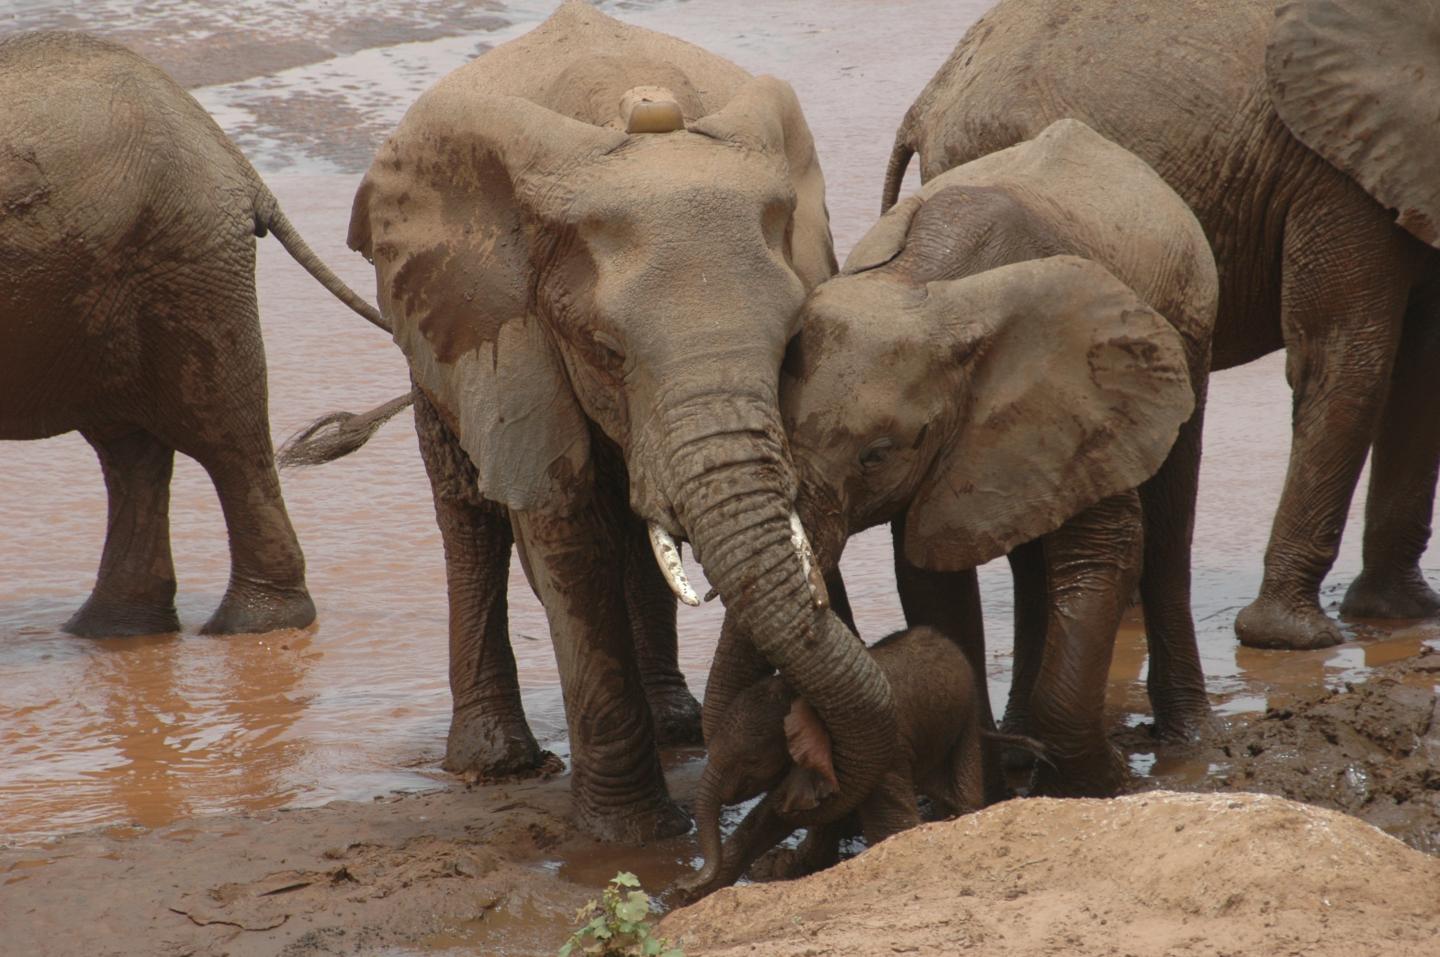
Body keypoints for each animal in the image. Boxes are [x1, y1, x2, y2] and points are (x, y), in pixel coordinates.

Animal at [0, 32, 386, 638]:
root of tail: (234, 161)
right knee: (130, 449)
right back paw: (112, 630)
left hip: (183, 258)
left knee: (222, 435)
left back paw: (250, 626)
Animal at [285, 2, 895, 842]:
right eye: (606, 351)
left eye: (793, 340)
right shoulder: (509, 330)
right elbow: (565, 534)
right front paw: (629, 836)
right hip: (431, 332)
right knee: (469, 516)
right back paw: (496, 761)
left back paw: (676, 723)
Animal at [677, 626, 1002, 900]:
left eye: (752, 760)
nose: (684, 882)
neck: (805, 699)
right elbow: (770, 818)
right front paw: (693, 897)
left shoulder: (885, 755)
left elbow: (893, 826)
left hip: (967, 716)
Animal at [885, 0, 1440, 654]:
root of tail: (927, 101)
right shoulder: (1331, 165)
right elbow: (1344, 353)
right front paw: (1294, 639)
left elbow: (1420, 364)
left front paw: (1401, 612)